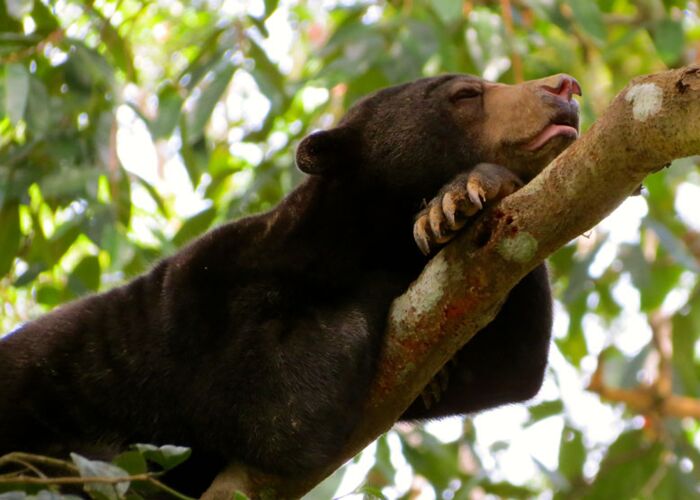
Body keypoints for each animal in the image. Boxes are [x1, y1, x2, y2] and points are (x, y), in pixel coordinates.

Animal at [0, 72, 581, 496]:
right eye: (466, 95)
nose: (564, 86)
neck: (353, 233)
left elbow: (511, 365)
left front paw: (465, 198)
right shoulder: (211, 299)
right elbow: (279, 412)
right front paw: (453, 201)